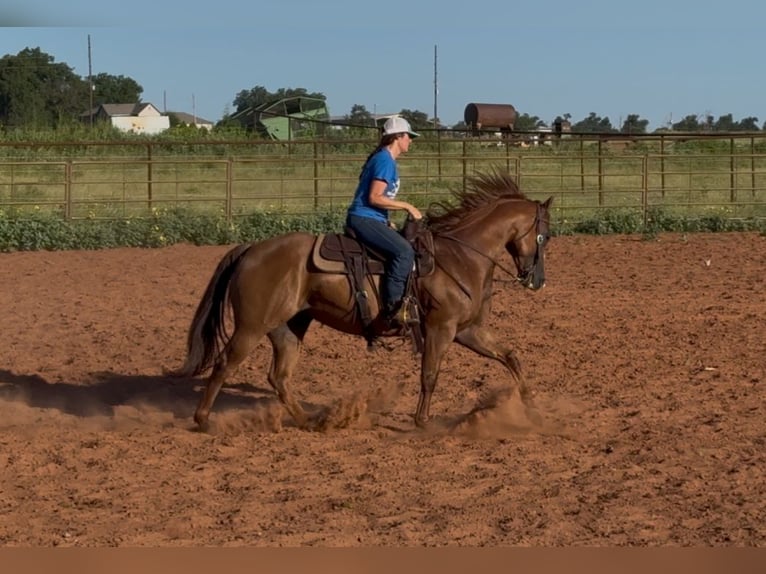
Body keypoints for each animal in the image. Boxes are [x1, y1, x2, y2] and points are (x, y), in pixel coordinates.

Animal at [174, 170, 553, 431]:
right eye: (545, 235)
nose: (537, 281)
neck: (462, 256)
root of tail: (251, 249)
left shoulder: (468, 329)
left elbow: (510, 356)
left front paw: (532, 407)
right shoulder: (441, 328)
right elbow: (429, 374)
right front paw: (422, 422)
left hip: (288, 327)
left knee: (278, 377)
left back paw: (311, 421)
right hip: (252, 326)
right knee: (226, 363)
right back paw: (203, 420)